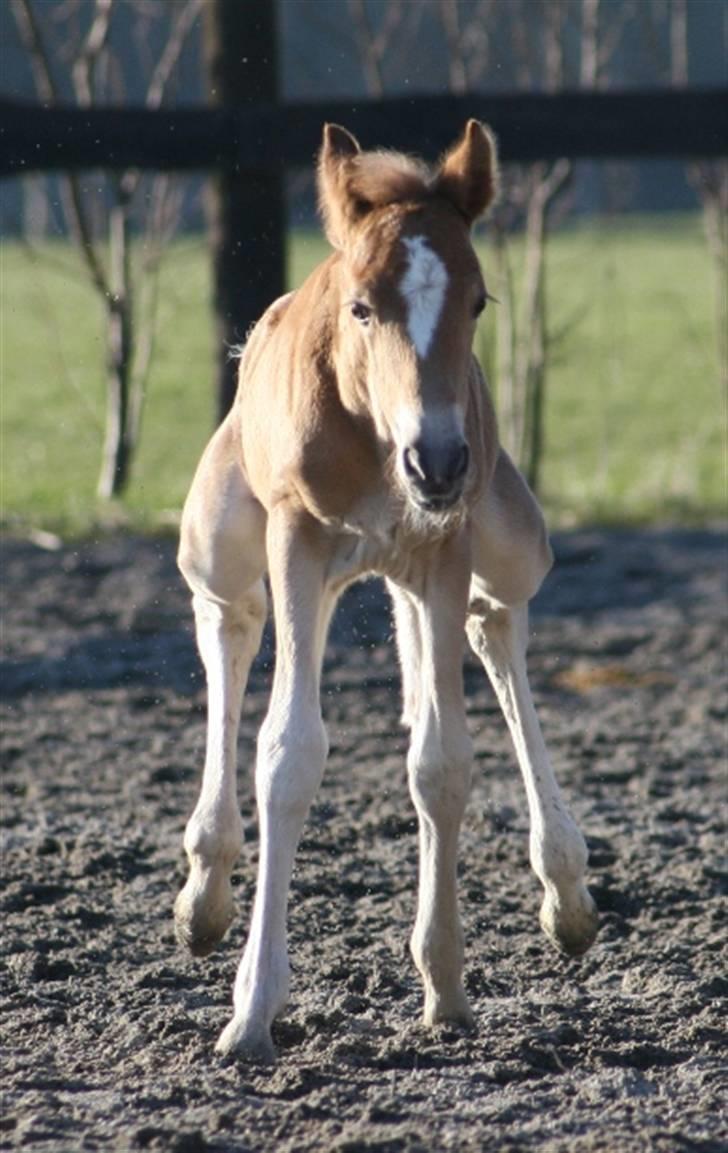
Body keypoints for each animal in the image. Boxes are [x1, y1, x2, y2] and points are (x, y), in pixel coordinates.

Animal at [175, 119, 599, 1060]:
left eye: (478, 303)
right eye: (363, 307)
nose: (436, 462)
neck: (373, 428)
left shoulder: (446, 548)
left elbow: (441, 761)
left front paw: (445, 985)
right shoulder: (295, 539)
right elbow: (287, 752)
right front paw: (252, 1010)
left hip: (509, 540)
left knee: (496, 623)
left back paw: (566, 884)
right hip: (220, 538)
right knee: (229, 622)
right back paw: (206, 884)